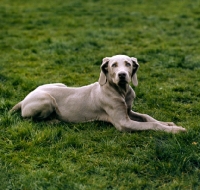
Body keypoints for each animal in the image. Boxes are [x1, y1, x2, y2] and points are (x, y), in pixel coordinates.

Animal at [10, 54, 186, 133]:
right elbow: (151, 124)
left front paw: (169, 124)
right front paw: (176, 130)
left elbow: (147, 117)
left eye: (128, 64)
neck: (121, 91)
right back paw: (54, 121)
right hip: (47, 100)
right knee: (30, 120)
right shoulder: (123, 123)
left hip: (59, 84)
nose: (122, 75)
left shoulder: (128, 111)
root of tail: (24, 99)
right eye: (113, 65)